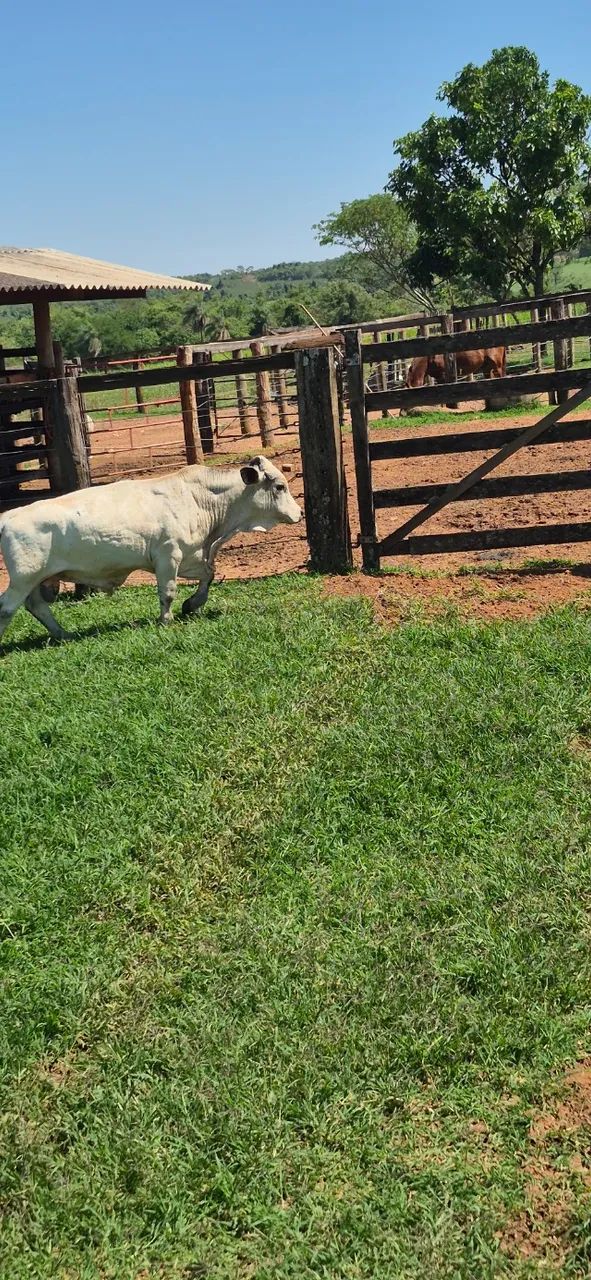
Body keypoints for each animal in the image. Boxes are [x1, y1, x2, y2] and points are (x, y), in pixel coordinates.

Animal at [0, 456, 302, 643]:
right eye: (279, 486)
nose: (299, 513)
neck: (199, 499)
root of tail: (9, 516)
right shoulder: (169, 556)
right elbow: (167, 593)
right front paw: (167, 619)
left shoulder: (191, 555)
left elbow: (209, 574)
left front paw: (192, 604)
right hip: (23, 579)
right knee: (7, 607)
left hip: (36, 580)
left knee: (36, 606)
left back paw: (63, 634)